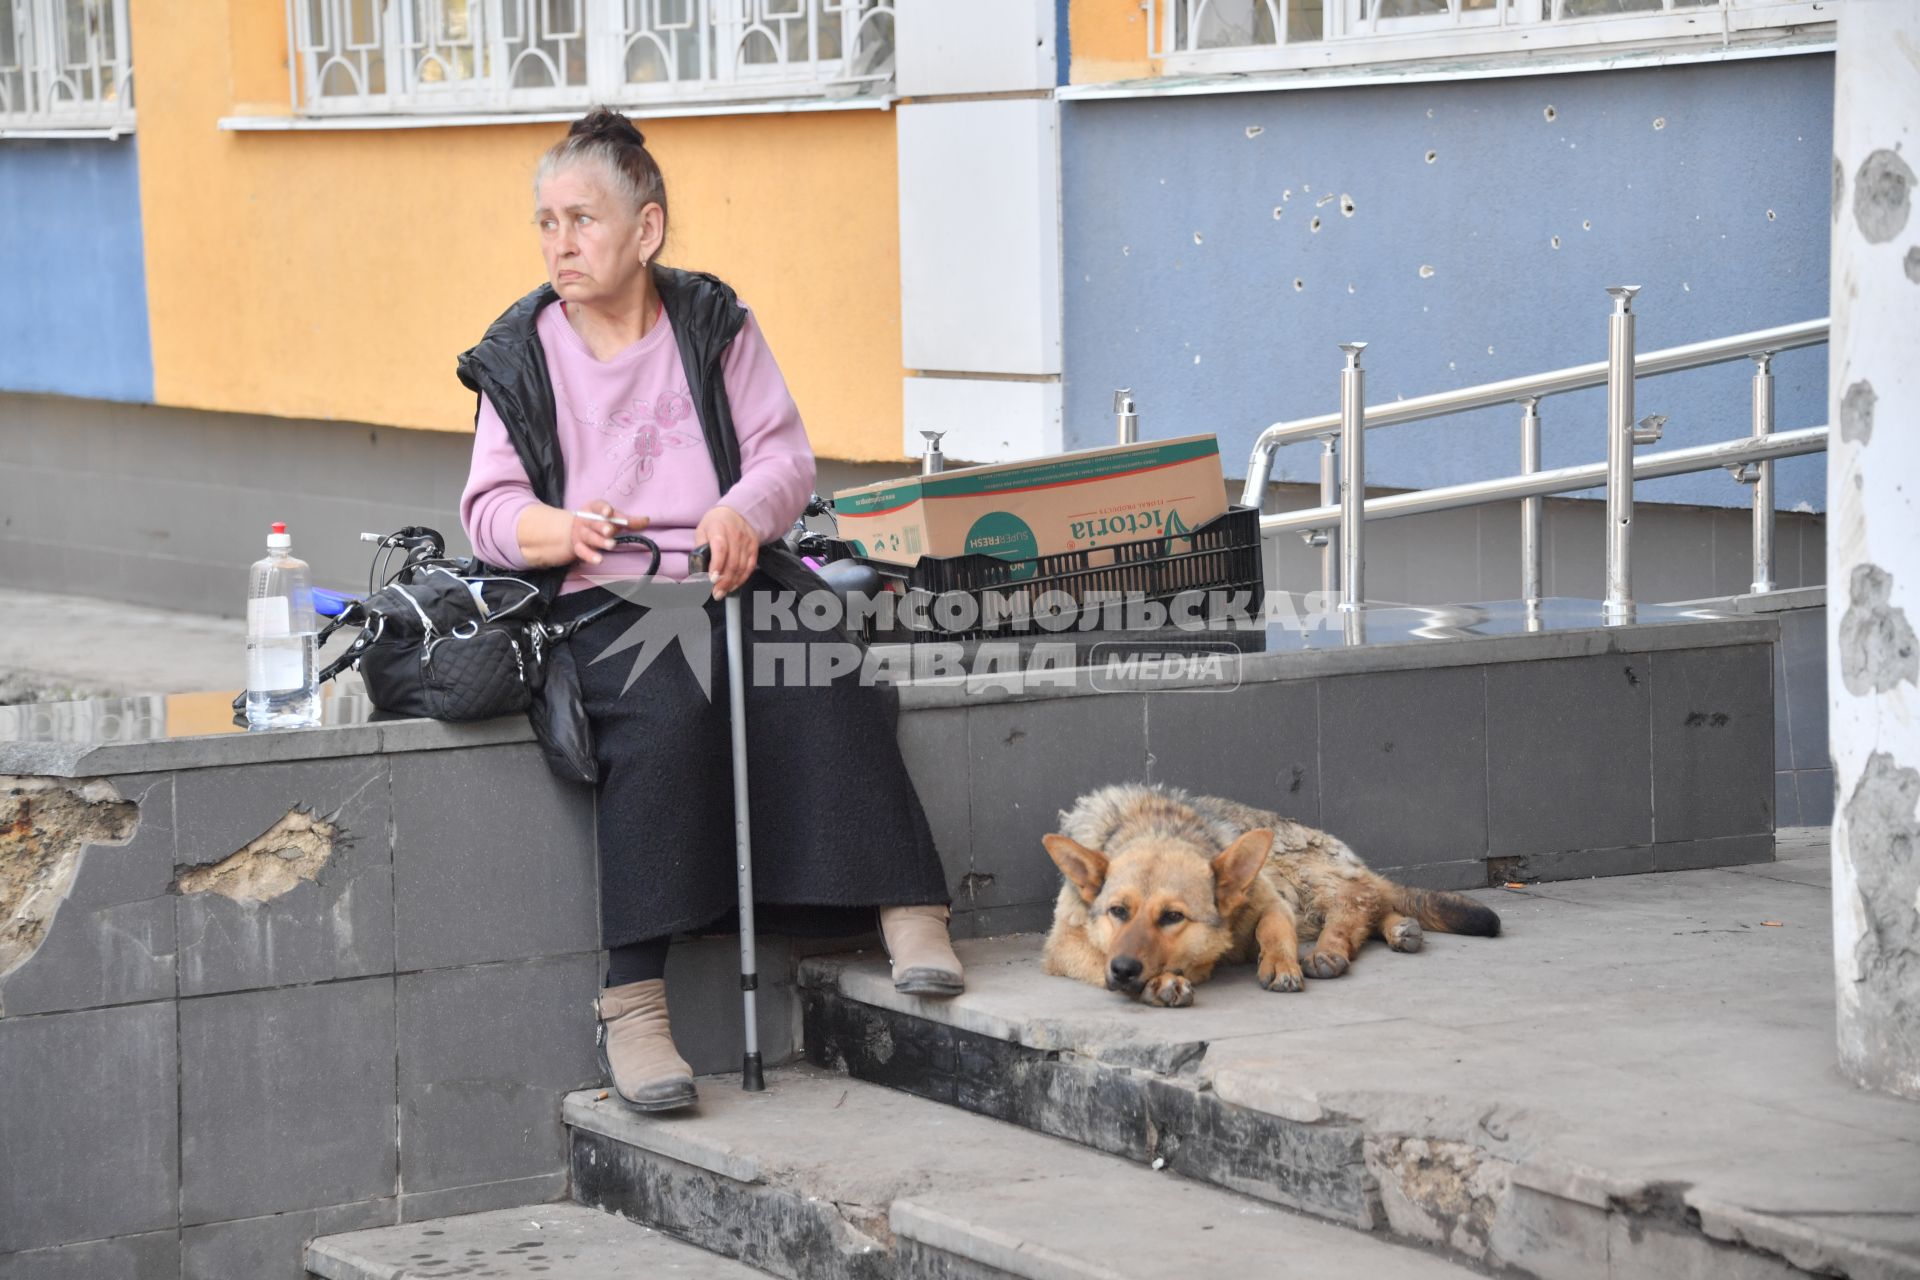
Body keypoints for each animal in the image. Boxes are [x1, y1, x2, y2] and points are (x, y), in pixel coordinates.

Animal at [1052, 786, 1497, 1005]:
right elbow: (1096, 956)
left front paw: (1282, 965)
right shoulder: (1064, 945)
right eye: (1117, 911)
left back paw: (1328, 951)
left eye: (1172, 917)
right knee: (1373, 903)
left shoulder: (1272, 904)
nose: (1124, 970)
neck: (1158, 824)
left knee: (1357, 901)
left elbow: (1274, 933)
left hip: (1297, 875)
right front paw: (1160, 982)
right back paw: (1399, 928)